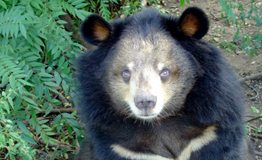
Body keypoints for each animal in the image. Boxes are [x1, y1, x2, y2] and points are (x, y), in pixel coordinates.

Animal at [74, 6, 254, 159]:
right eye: (126, 73)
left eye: (164, 72)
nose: (145, 102)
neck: (160, 122)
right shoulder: (120, 147)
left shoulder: (210, 133)